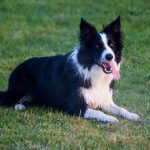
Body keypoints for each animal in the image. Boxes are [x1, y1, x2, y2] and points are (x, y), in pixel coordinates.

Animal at [0, 16, 139, 122]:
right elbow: (98, 112)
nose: (110, 56)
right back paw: (19, 106)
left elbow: (120, 108)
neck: (92, 70)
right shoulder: (76, 106)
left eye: (111, 45)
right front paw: (110, 118)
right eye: (97, 46)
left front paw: (131, 115)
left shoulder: (104, 99)